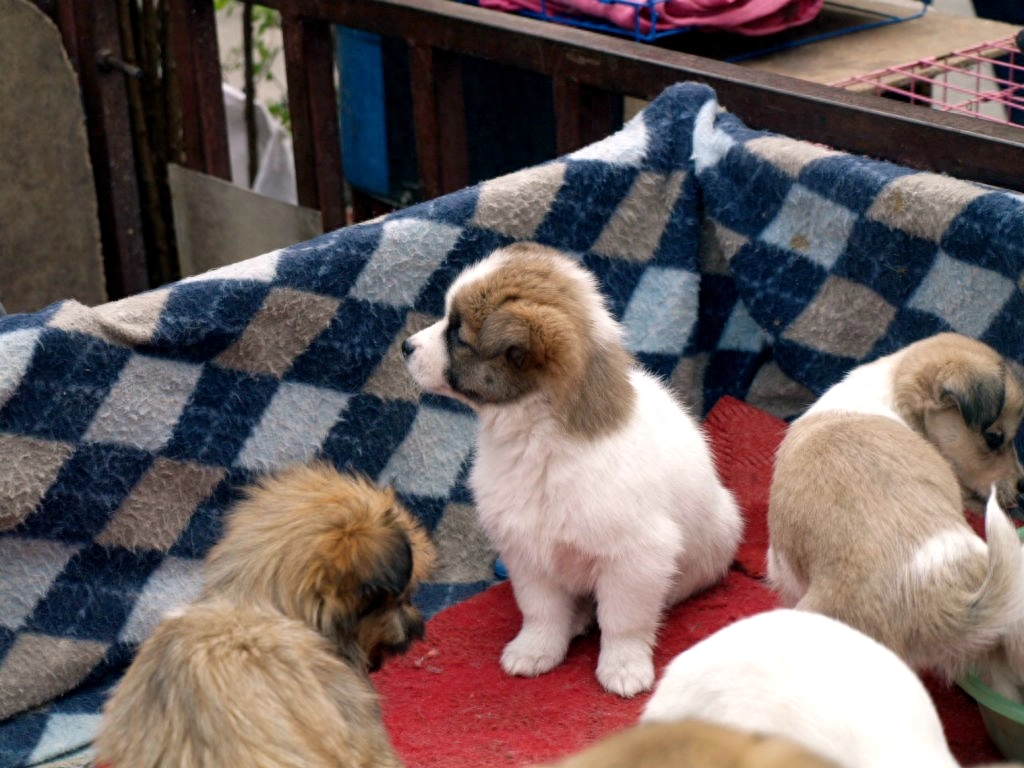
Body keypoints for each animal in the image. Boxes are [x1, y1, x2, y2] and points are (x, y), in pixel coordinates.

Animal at [401, 243, 745, 700]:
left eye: (458, 334)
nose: (405, 346)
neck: (539, 440)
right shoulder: (527, 553)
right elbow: (541, 611)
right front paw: (537, 649)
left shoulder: (635, 558)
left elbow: (623, 621)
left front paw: (623, 665)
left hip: (718, 536)